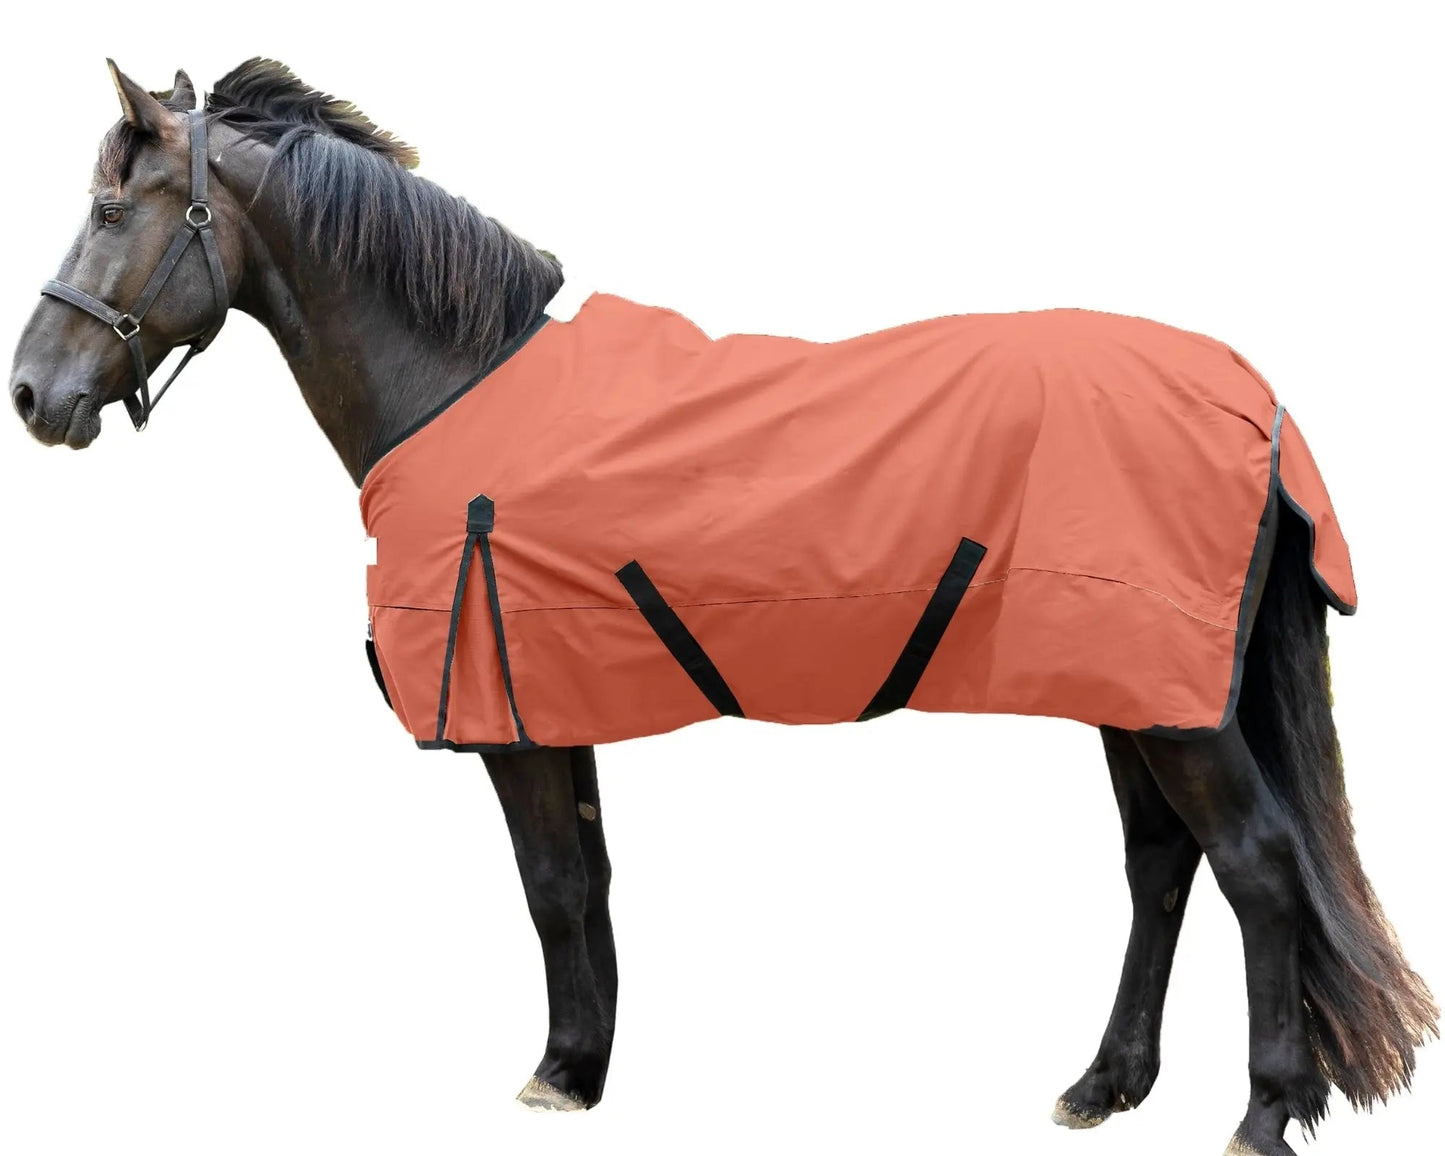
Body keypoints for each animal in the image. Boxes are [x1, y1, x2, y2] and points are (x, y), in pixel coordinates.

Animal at [8, 59, 1435, 1156]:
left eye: (107, 208)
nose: (31, 394)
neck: (457, 383)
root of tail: (1253, 402)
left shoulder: (511, 716)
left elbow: (548, 883)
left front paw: (557, 1075)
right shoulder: (554, 701)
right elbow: (586, 879)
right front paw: (584, 1063)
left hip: (1173, 708)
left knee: (1254, 866)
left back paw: (1260, 1112)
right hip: (1126, 690)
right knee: (1159, 866)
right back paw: (1103, 1086)